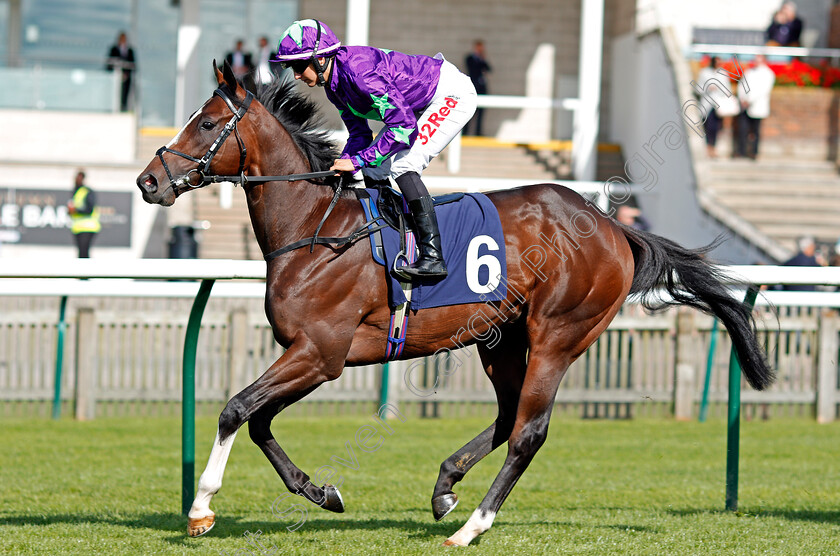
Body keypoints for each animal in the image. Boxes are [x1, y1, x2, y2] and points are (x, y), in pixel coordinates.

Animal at [138, 62, 776, 548]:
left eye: (208, 122)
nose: (148, 181)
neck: (315, 228)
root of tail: (613, 226)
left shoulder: (321, 353)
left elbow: (236, 409)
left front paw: (201, 509)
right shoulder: (312, 353)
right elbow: (259, 421)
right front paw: (323, 492)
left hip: (558, 334)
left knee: (528, 432)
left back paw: (471, 526)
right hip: (501, 337)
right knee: (509, 414)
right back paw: (446, 487)